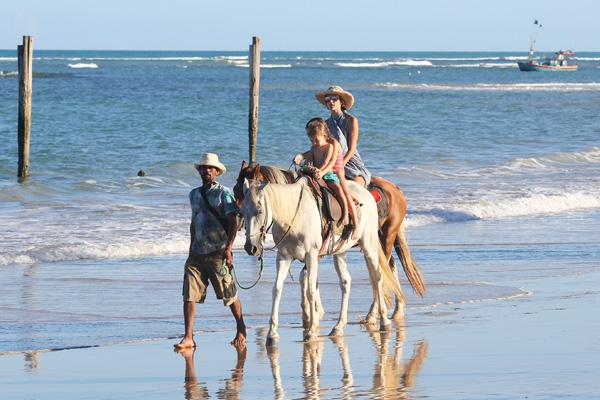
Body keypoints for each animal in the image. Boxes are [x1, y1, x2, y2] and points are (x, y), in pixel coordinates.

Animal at [232, 161, 424, 320]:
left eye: (259, 210)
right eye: (235, 191)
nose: (249, 246)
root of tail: (395, 190)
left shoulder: (314, 253)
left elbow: (307, 279)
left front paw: (314, 312)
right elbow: (305, 279)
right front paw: (310, 312)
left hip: (384, 238)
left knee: (382, 272)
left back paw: (375, 313)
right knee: (388, 267)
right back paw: (394, 308)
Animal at [240, 179, 404, 344]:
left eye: (259, 211)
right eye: (242, 212)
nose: (250, 247)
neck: (294, 216)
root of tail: (367, 194)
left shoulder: (311, 255)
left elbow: (311, 290)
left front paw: (311, 331)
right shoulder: (283, 257)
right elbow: (277, 289)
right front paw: (272, 334)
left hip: (369, 245)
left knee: (377, 277)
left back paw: (383, 321)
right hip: (340, 251)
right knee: (346, 282)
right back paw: (338, 327)